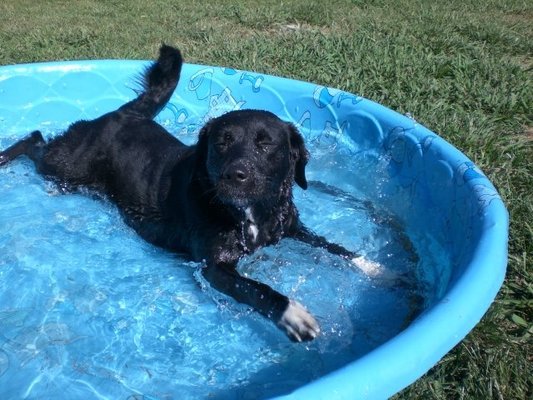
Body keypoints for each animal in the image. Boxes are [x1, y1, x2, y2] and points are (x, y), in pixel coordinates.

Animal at [1, 46, 362, 340]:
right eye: (222, 142)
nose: (234, 175)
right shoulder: (214, 267)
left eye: (265, 143)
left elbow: (339, 249)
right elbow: (258, 290)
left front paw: (373, 269)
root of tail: (124, 114)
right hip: (66, 168)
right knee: (35, 139)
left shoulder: (291, 227)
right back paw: (6, 156)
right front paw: (293, 314)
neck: (247, 212)